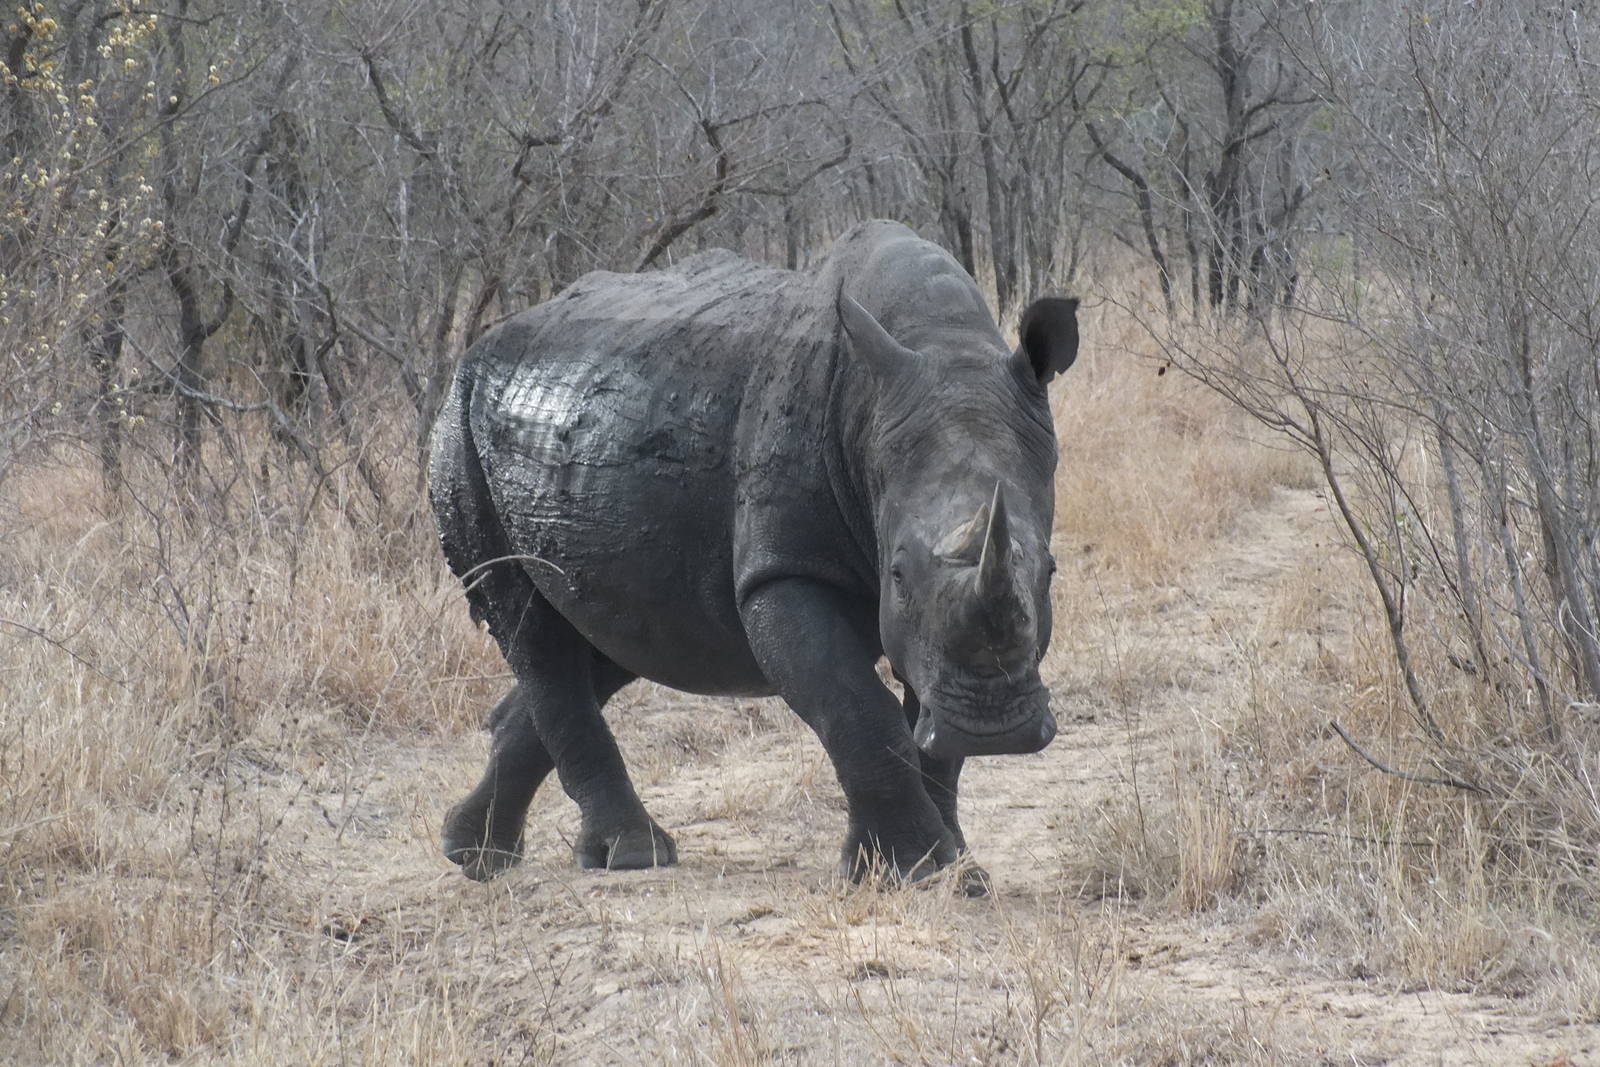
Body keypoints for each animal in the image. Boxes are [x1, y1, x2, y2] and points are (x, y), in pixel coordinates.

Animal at [429, 220, 1079, 890]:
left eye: (1050, 571)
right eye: (896, 574)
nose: (994, 727)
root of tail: (474, 355)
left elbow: (931, 725)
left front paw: (959, 875)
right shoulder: (782, 569)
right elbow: (856, 705)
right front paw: (913, 870)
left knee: (613, 635)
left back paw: (476, 855)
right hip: (458, 431)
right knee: (533, 630)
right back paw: (632, 855)